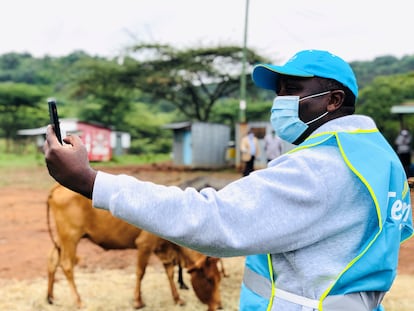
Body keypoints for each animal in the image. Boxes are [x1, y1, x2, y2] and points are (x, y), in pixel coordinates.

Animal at [46, 184, 223, 310]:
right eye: (209, 279)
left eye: (219, 278)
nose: (219, 305)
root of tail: (58, 187)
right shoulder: (144, 245)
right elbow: (140, 272)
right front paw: (138, 301)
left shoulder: (163, 249)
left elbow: (170, 273)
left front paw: (178, 298)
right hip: (70, 237)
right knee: (67, 265)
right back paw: (78, 301)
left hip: (62, 239)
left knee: (53, 262)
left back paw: (50, 297)